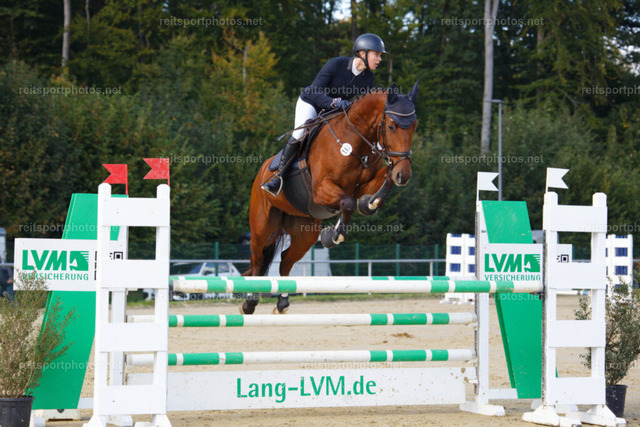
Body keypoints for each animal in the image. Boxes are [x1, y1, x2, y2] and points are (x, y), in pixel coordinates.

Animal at [241, 81, 419, 314]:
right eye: (391, 127)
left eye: (415, 126)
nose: (404, 175)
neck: (355, 141)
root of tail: (262, 170)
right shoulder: (321, 190)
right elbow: (347, 204)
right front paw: (334, 236)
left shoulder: (361, 186)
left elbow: (380, 183)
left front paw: (370, 204)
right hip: (262, 225)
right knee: (257, 258)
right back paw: (249, 302)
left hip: (304, 232)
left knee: (285, 261)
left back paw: (282, 302)